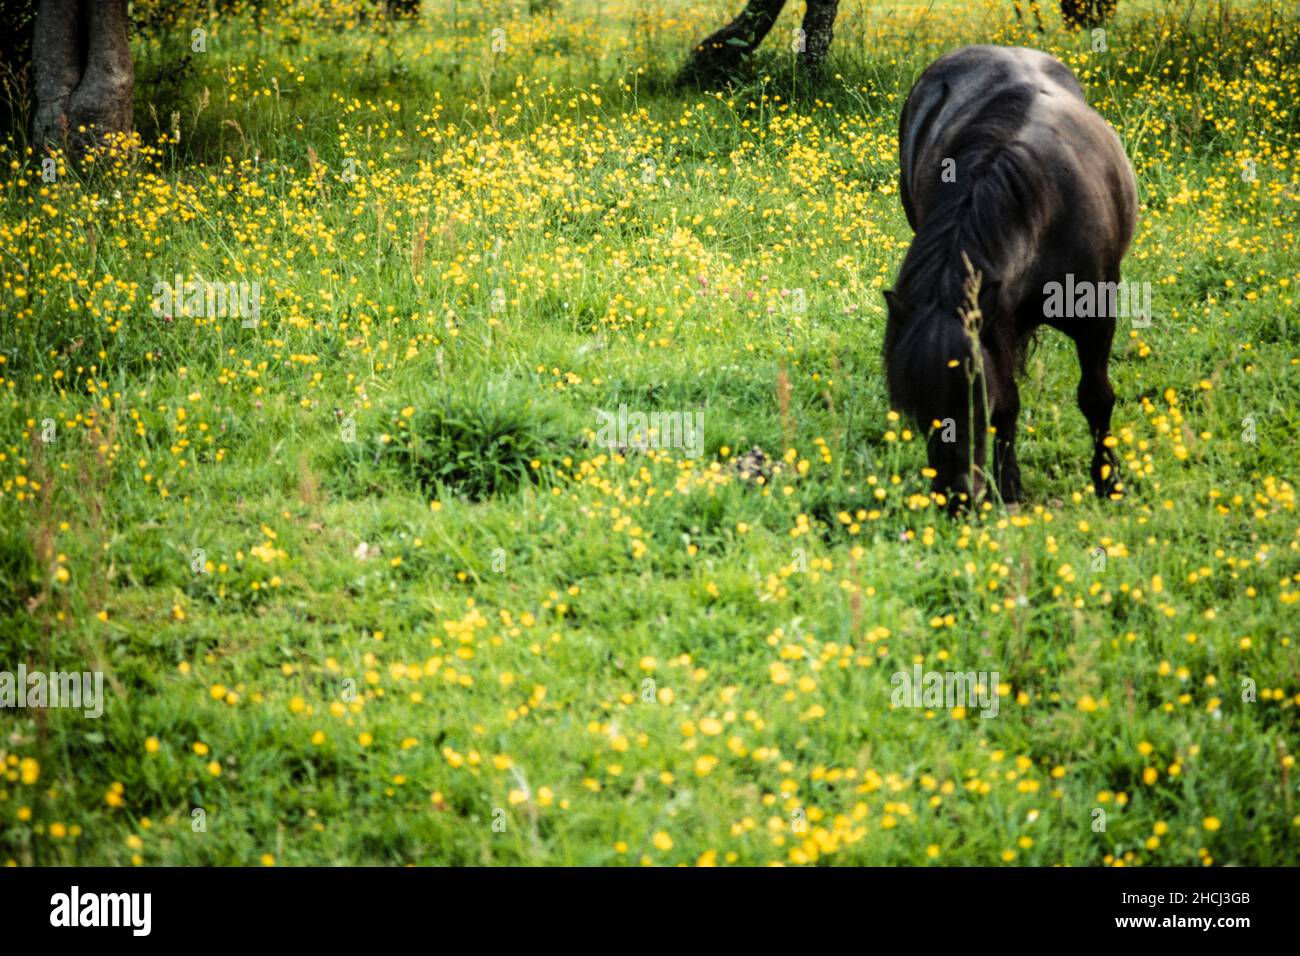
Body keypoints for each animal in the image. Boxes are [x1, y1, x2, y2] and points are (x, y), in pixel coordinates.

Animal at [883, 46, 1138, 509]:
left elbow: (1096, 397)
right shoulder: (995, 325)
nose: (955, 500)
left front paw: (1108, 482)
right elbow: (1007, 407)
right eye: (917, 406)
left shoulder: (1096, 318)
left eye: (971, 392)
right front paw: (1010, 486)